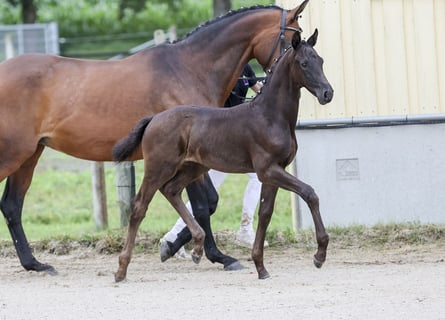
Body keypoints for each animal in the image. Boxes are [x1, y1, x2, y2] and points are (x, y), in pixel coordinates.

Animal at [0, 1, 310, 274]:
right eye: (294, 40)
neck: (188, 69)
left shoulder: (194, 159)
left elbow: (206, 203)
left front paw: (181, 248)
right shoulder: (190, 156)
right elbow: (203, 204)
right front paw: (208, 254)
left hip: (30, 155)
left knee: (12, 205)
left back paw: (35, 264)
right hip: (14, 154)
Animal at [112, 28, 332, 282]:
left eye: (321, 61)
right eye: (304, 63)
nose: (328, 93)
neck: (270, 116)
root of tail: (153, 118)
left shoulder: (274, 172)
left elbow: (265, 213)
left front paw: (260, 266)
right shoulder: (268, 170)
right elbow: (310, 193)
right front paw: (319, 255)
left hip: (192, 167)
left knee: (171, 190)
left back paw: (197, 247)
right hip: (159, 167)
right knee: (140, 206)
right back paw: (121, 269)